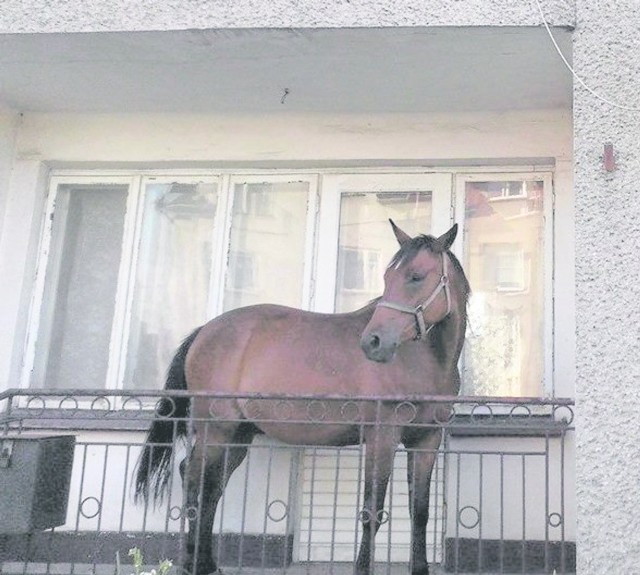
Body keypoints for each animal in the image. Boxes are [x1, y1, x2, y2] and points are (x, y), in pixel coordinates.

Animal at [136, 220, 470, 575]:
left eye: (416, 276)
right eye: (387, 278)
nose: (373, 342)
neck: (424, 360)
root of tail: (203, 331)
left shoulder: (426, 441)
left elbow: (419, 511)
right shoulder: (382, 437)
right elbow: (372, 512)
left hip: (237, 436)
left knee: (211, 488)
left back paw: (207, 563)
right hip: (216, 430)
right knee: (194, 479)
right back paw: (192, 562)